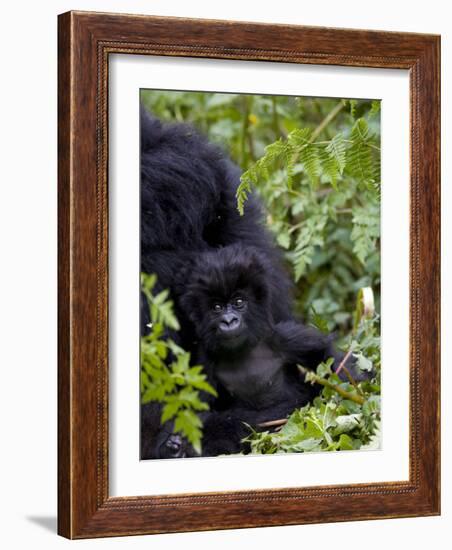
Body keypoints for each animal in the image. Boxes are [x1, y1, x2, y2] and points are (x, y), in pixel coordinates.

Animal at [154, 247, 362, 462]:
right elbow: (192, 411)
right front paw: (174, 445)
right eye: (217, 307)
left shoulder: (282, 338)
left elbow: (325, 356)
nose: (229, 321)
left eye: (238, 302)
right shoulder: (204, 365)